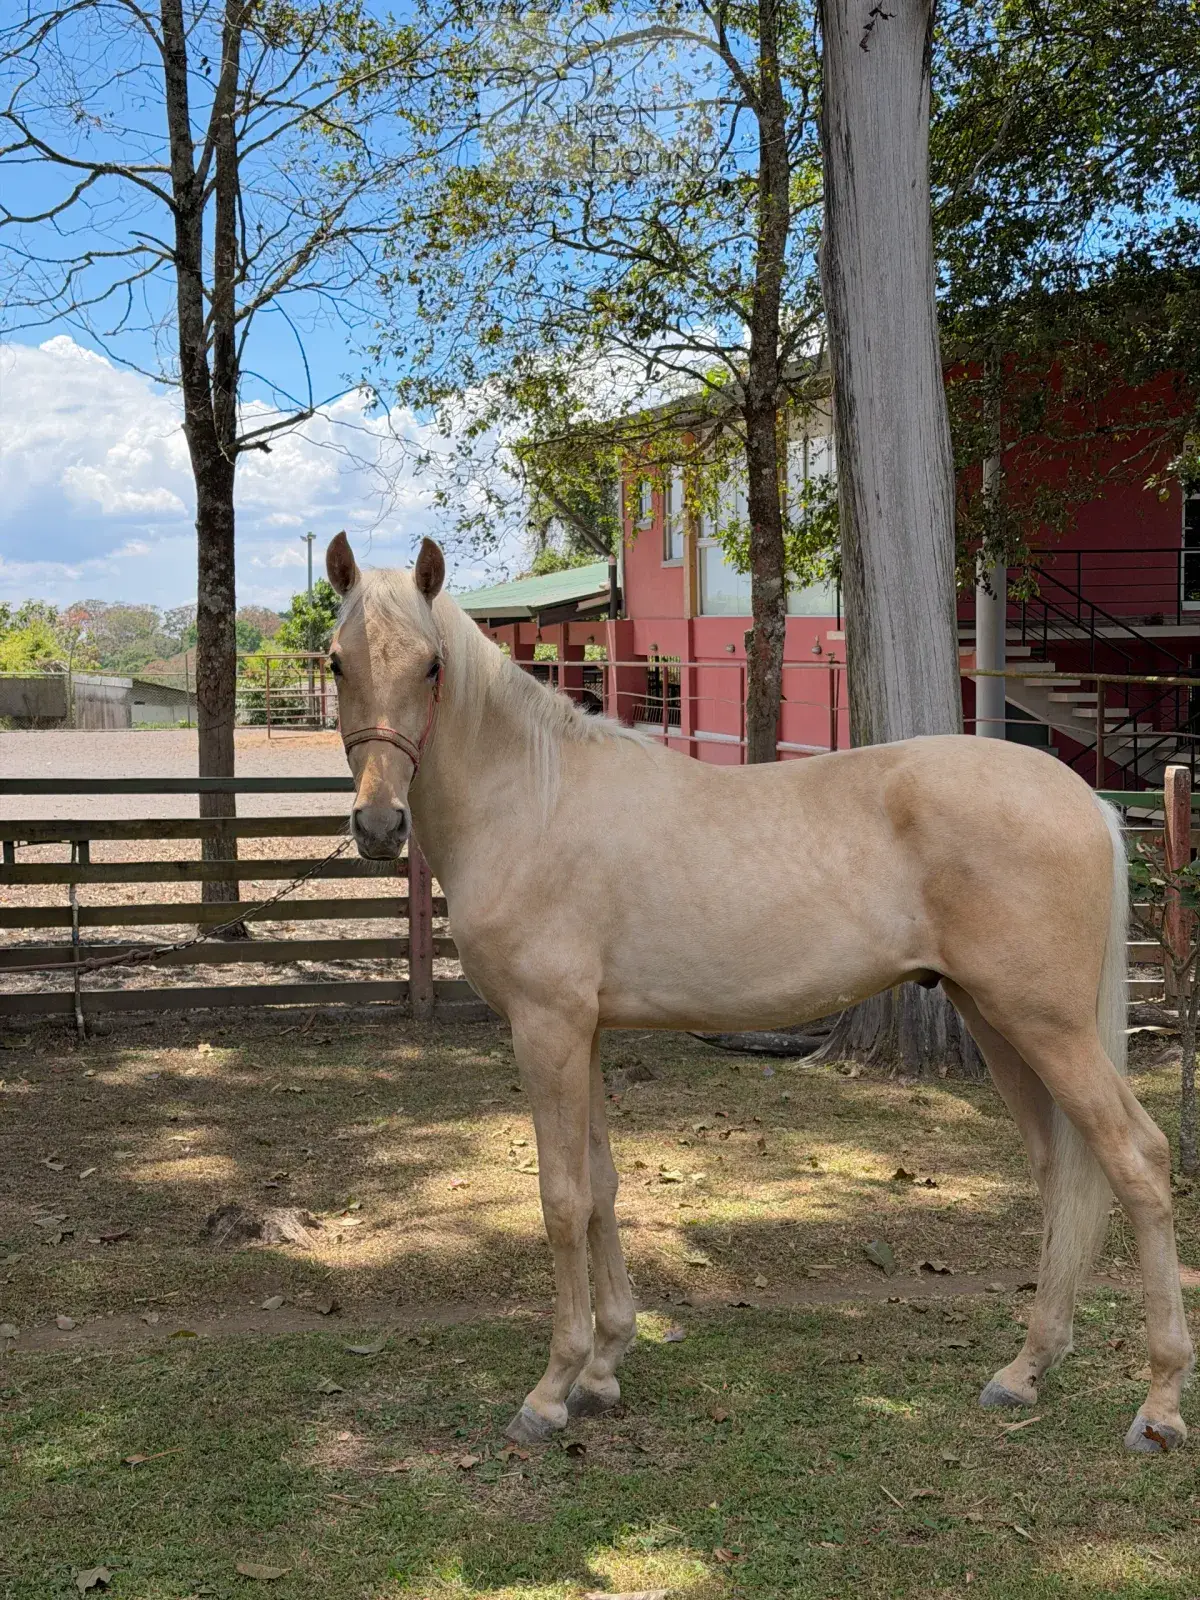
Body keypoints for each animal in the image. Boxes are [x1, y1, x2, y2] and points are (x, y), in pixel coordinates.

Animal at [325, 531, 1193, 1454]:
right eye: (337, 662)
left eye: (430, 665)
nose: (378, 826)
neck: (535, 797)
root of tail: (1091, 802)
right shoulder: (583, 1031)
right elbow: (601, 1187)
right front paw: (604, 1367)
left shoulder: (547, 1028)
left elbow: (561, 1199)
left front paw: (552, 1389)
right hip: (998, 1021)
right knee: (1061, 1170)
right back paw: (1024, 1372)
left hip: (1047, 1025)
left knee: (1136, 1160)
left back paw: (1159, 1407)